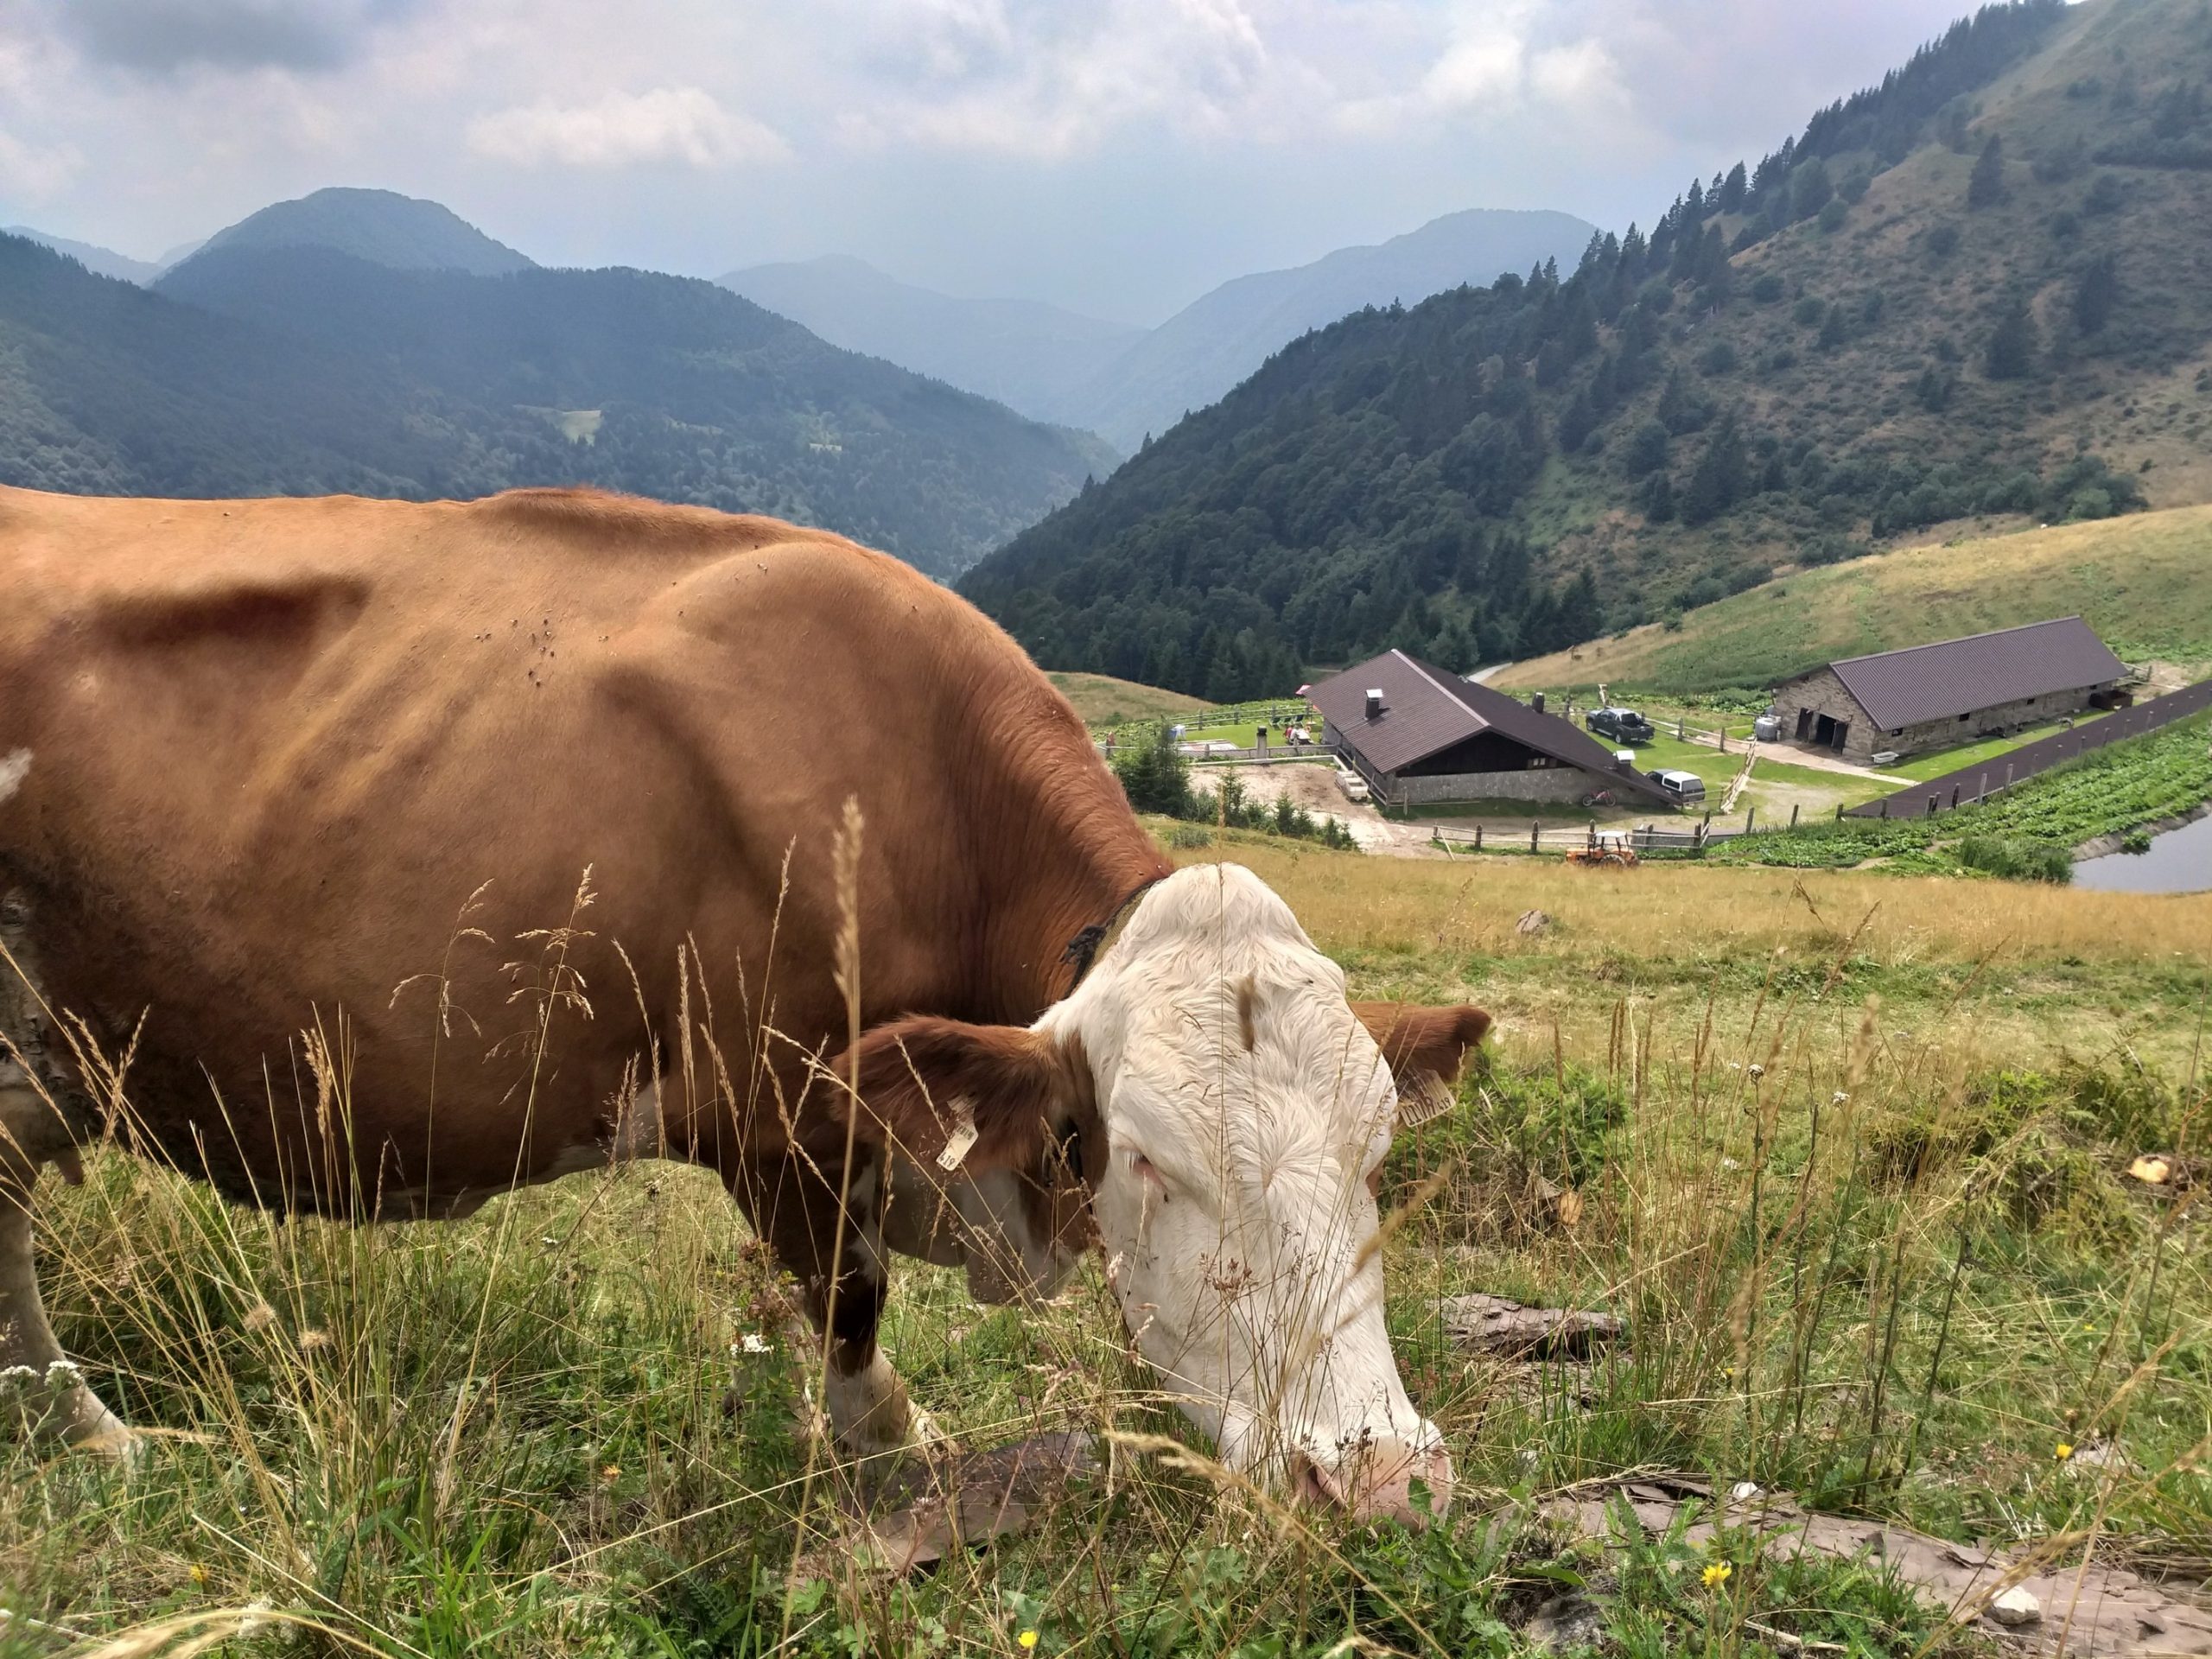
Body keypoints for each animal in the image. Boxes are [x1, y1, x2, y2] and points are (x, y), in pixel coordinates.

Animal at [4, 486, 1486, 1530]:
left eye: (1377, 1155)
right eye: (1146, 1165)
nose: (1379, 1483)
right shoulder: (776, 1116)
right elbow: (850, 1317)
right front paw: (895, 1470)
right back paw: (96, 1434)